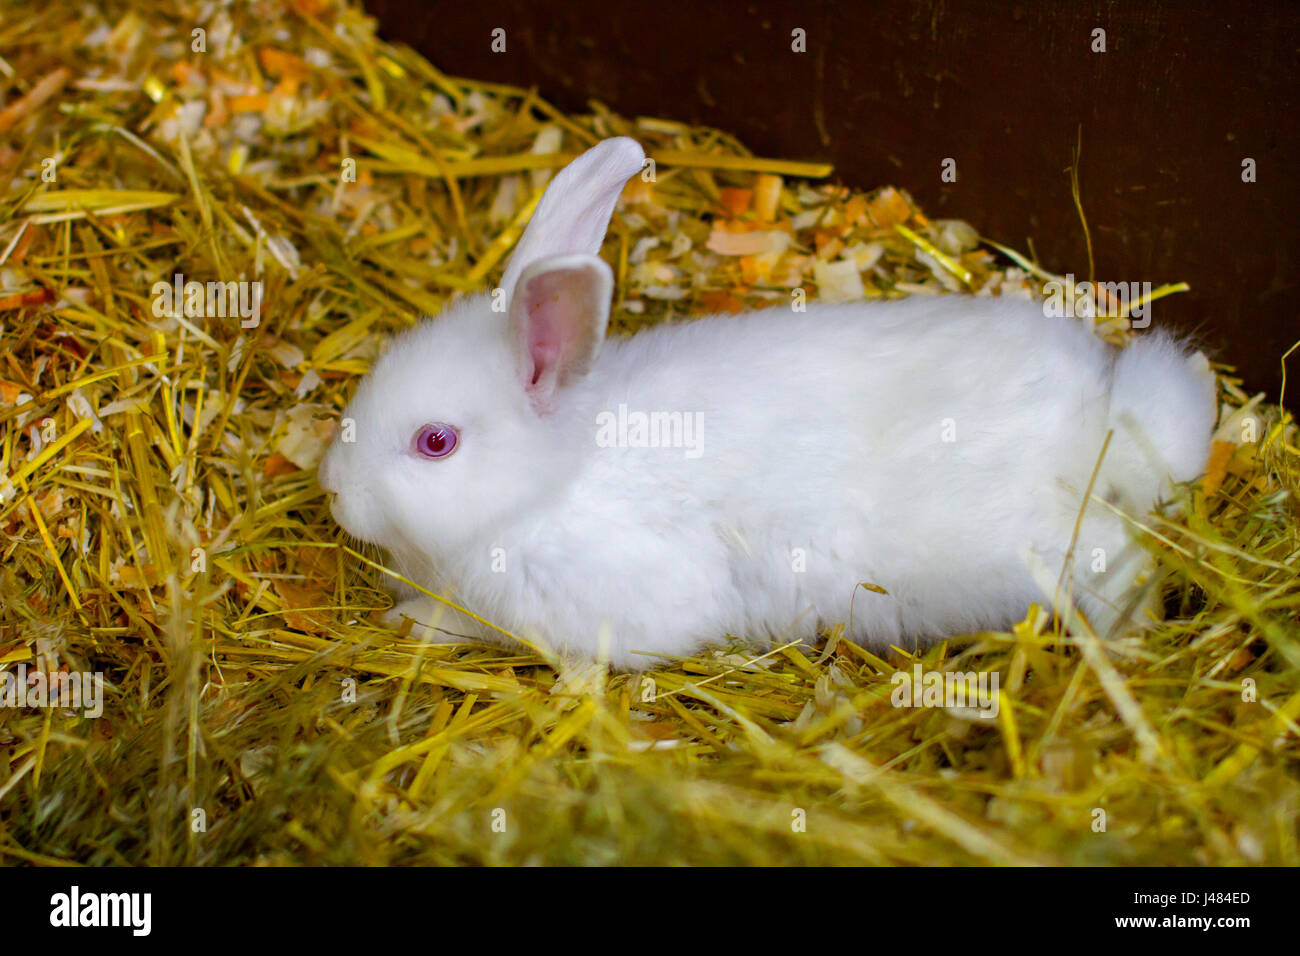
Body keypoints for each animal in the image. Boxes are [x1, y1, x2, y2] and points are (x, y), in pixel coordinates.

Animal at [317, 136, 1218, 670]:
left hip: (1074, 556)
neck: (550, 482)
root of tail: (1109, 417)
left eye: (436, 442)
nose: (332, 490)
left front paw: (419, 625)